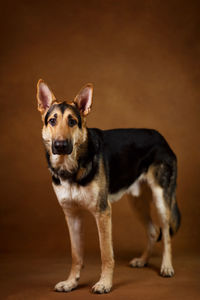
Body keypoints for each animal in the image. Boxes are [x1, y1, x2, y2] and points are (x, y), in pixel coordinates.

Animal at [36, 79, 181, 292]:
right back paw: (143, 260)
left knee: (166, 233)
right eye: (52, 121)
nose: (60, 145)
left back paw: (167, 266)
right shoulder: (72, 215)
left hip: (161, 199)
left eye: (72, 121)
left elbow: (106, 254)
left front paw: (104, 283)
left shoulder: (102, 212)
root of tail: (161, 137)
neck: (70, 167)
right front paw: (71, 282)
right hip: (137, 203)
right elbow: (76, 255)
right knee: (153, 231)